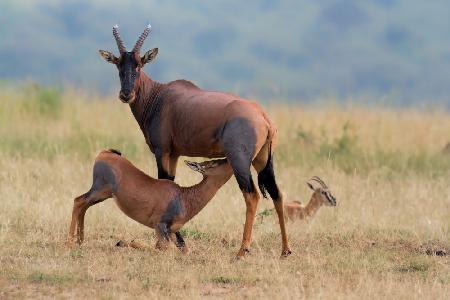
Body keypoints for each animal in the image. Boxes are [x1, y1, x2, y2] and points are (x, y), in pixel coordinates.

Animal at [69, 150, 236, 253]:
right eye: (214, 163)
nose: (229, 158)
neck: (183, 196)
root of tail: (105, 153)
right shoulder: (160, 226)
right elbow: (166, 249)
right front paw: (125, 242)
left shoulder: (171, 231)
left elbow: (181, 250)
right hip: (99, 190)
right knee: (78, 201)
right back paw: (69, 242)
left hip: (103, 195)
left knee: (83, 206)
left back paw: (80, 241)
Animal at [96, 24, 290, 258]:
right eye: (118, 65)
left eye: (139, 65)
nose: (126, 94)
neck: (159, 96)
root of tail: (263, 117)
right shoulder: (175, 153)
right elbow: (170, 182)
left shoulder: (162, 151)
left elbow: (164, 182)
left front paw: (174, 242)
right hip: (263, 161)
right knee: (277, 193)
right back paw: (285, 250)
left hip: (240, 161)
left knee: (251, 195)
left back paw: (242, 250)